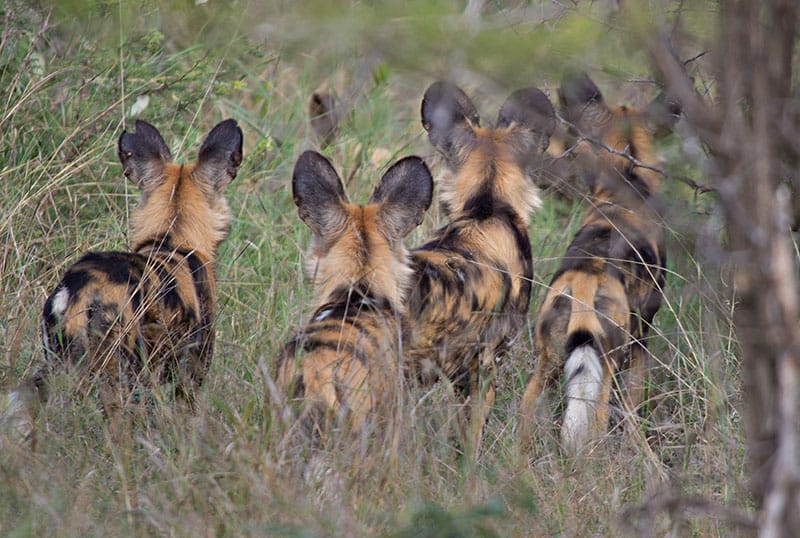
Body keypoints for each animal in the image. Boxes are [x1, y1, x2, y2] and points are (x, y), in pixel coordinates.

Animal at [520, 73, 680, 450]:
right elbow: (633, 413)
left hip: (546, 363)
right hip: (605, 368)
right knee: (597, 424)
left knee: (526, 415)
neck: (627, 186)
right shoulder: (640, 339)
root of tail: (584, 279)